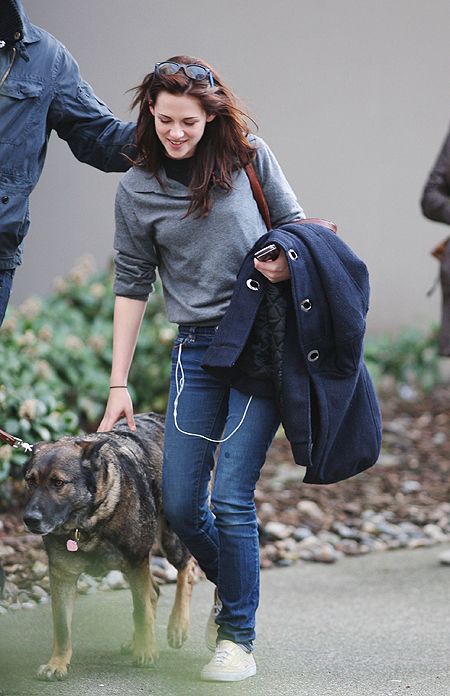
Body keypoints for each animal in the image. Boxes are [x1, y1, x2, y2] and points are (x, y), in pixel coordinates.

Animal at [22, 414, 195, 680]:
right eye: (30, 481)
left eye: (58, 483)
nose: (29, 519)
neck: (86, 522)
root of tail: (159, 417)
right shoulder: (62, 575)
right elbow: (62, 626)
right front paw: (57, 663)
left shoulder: (136, 562)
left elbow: (141, 610)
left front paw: (146, 650)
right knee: (154, 591)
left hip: (171, 536)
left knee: (187, 569)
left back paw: (177, 626)